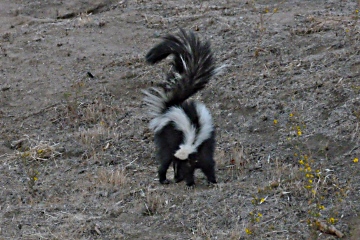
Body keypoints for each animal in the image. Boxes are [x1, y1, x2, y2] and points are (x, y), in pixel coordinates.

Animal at [143, 29, 219, 187]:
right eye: (183, 166)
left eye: (188, 162)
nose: (179, 176)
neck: (193, 141)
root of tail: (171, 107)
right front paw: (190, 181)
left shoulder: (204, 148)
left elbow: (208, 164)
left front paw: (212, 180)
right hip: (165, 138)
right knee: (165, 158)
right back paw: (163, 178)